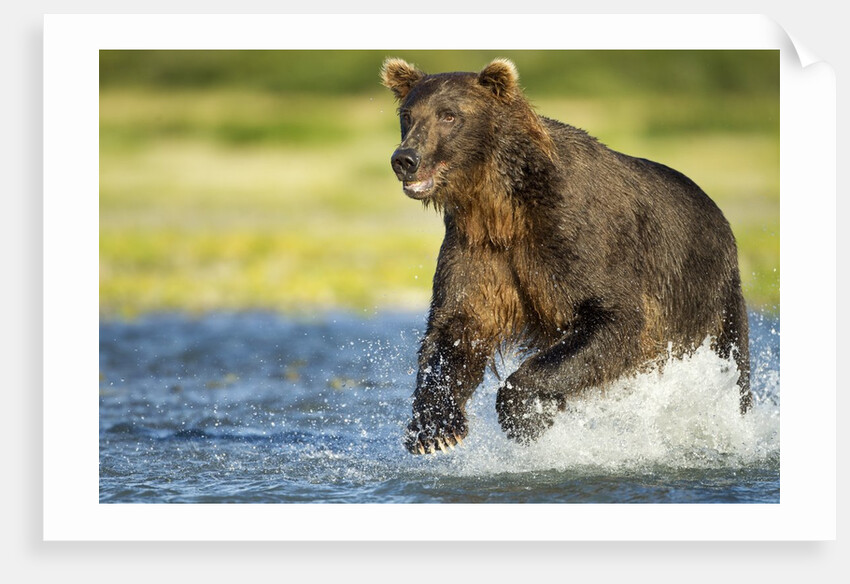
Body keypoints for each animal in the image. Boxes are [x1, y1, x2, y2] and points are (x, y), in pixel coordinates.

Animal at [381, 57, 752, 455]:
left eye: (449, 115)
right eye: (407, 114)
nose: (404, 159)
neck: (500, 203)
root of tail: (718, 213)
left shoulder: (579, 238)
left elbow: (615, 318)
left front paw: (525, 417)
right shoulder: (478, 248)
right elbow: (457, 326)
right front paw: (434, 429)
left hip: (708, 296)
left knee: (733, 366)